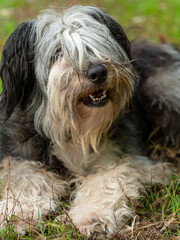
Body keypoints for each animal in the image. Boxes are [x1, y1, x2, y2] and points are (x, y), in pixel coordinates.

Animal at [0, 5, 179, 238]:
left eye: (95, 44)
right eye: (57, 53)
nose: (98, 72)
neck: (74, 129)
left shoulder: (126, 156)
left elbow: (108, 177)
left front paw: (94, 217)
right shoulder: (20, 152)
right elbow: (24, 178)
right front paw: (14, 213)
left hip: (165, 92)